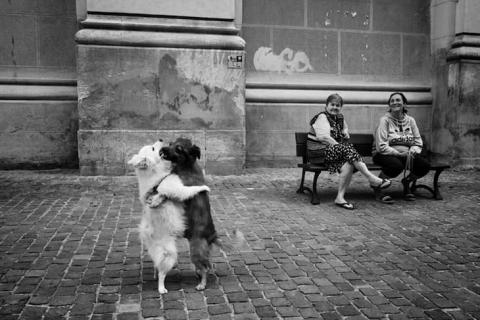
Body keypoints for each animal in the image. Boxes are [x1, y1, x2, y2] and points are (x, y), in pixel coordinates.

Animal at [128, 140, 209, 296]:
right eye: (153, 148)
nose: (160, 139)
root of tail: (149, 236)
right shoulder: (175, 188)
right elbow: (189, 190)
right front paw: (204, 188)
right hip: (170, 255)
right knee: (162, 273)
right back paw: (161, 288)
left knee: (158, 265)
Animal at [159, 136, 246, 292]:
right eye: (170, 143)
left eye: (179, 148)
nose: (162, 149)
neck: (187, 167)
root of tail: (212, 235)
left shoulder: (180, 189)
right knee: (207, 265)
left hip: (196, 250)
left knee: (206, 268)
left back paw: (202, 284)